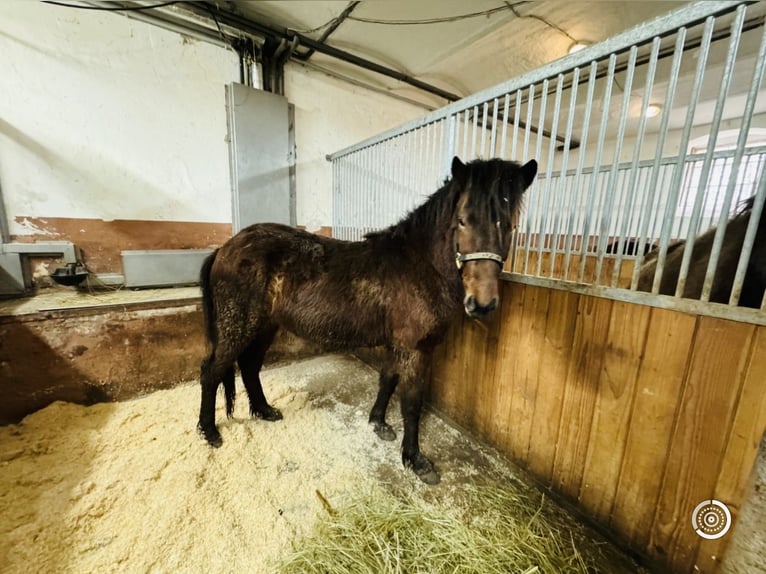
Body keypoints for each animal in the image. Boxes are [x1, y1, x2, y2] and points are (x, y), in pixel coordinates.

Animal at [196, 158, 540, 486]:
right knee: (212, 371)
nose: (481, 303)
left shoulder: (397, 343)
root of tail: (225, 248)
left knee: (249, 366)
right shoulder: (415, 349)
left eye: (510, 224)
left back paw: (265, 411)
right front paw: (415, 460)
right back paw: (209, 432)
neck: (419, 265)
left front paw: (378, 423)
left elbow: (387, 379)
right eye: (462, 220)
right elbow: (411, 403)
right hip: (239, 325)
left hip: (265, 326)